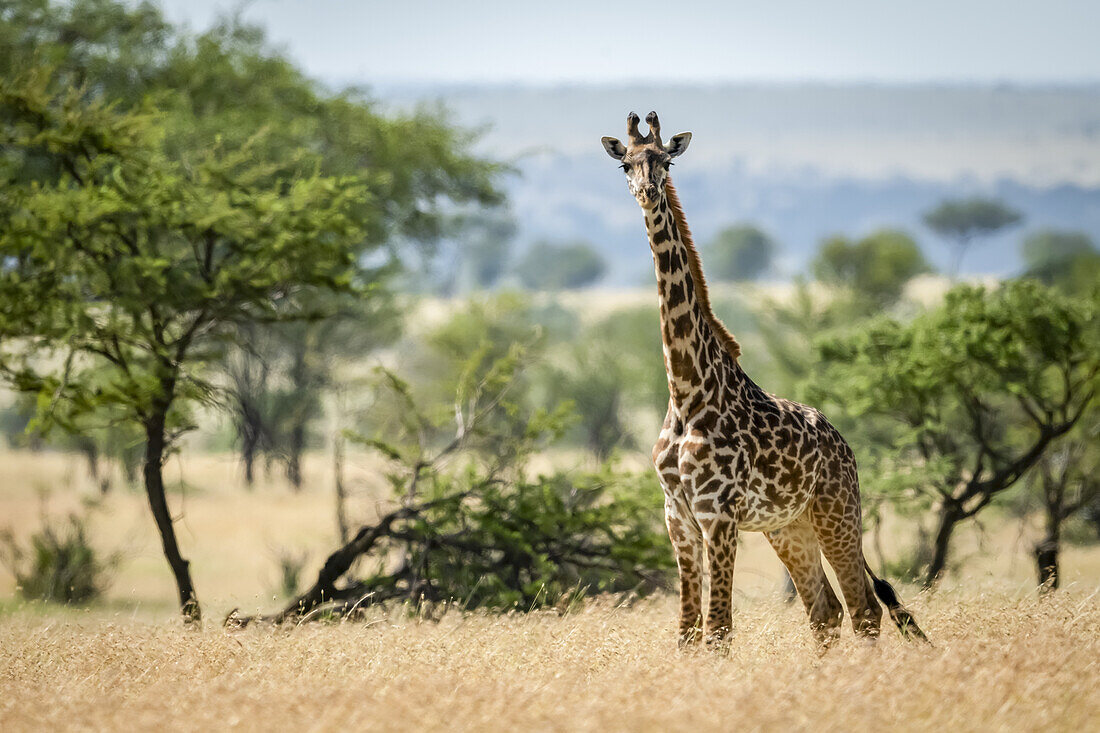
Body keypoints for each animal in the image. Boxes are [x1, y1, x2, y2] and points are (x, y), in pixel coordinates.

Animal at [607, 110, 924, 647]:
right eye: (625, 164)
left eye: (666, 161)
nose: (648, 191)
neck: (686, 391)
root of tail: (845, 446)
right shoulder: (678, 517)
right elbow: (687, 632)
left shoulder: (718, 514)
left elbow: (718, 630)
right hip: (789, 527)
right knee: (825, 610)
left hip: (837, 513)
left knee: (863, 608)